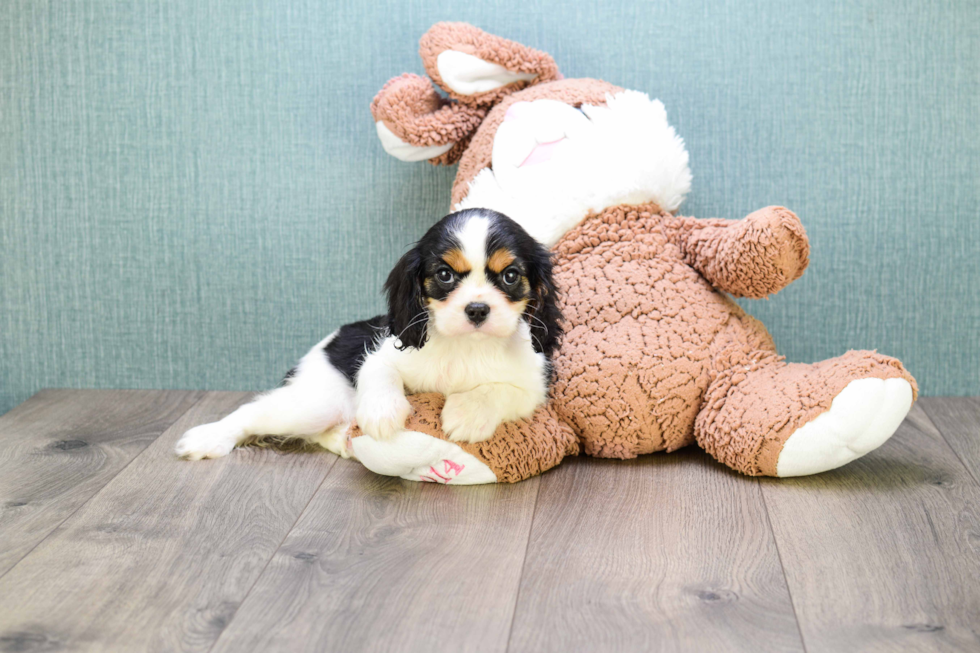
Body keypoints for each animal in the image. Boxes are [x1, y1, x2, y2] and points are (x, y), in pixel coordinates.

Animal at [172, 208, 564, 458]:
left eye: (510, 276)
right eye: (444, 275)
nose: (478, 309)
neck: (465, 346)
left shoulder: (533, 386)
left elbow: (497, 391)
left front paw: (467, 414)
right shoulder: (382, 354)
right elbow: (379, 372)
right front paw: (381, 413)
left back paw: (342, 440)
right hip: (317, 401)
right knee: (252, 413)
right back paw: (208, 438)